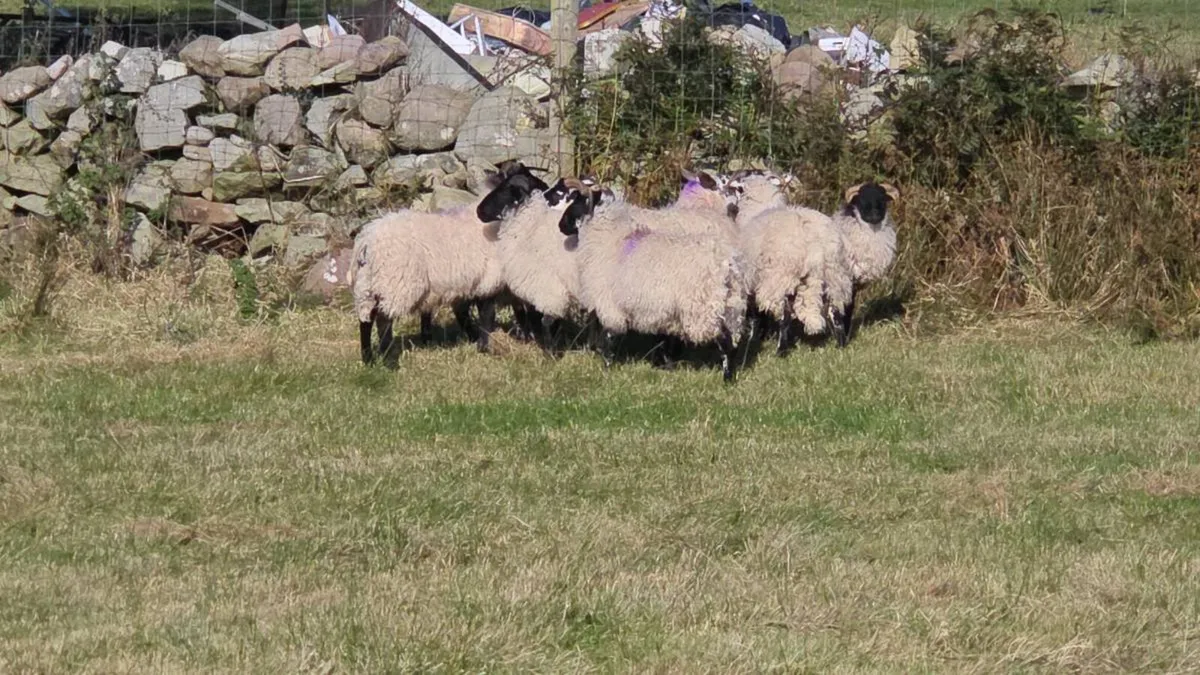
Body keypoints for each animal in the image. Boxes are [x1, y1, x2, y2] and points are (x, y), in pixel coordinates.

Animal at [350, 163, 548, 367]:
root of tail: (366, 241)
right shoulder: (487, 280)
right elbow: (487, 315)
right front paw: (485, 346)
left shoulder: (469, 285)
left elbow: (467, 314)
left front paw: (476, 339)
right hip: (396, 284)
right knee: (383, 320)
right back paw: (388, 360)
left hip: (366, 285)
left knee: (365, 319)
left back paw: (368, 358)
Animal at [559, 184, 748, 382]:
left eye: (577, 203)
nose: (561, 225)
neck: (610, 237)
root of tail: (727, 263)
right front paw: (666, 366)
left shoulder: (610, 305)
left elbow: (609, 338)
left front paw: (606, 369)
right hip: (732, 305)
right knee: (733, 342)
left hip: (703, 308)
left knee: (725, 341)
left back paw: (727, 379)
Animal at [732, 171, 855, 354]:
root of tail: (815, 245)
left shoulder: (752, 281)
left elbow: (757, 316)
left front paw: (755, 338)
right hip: (835, 275)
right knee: (836, 312)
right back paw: (840, 346)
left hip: (781, 277)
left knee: (784, 314)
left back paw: (781, 350)